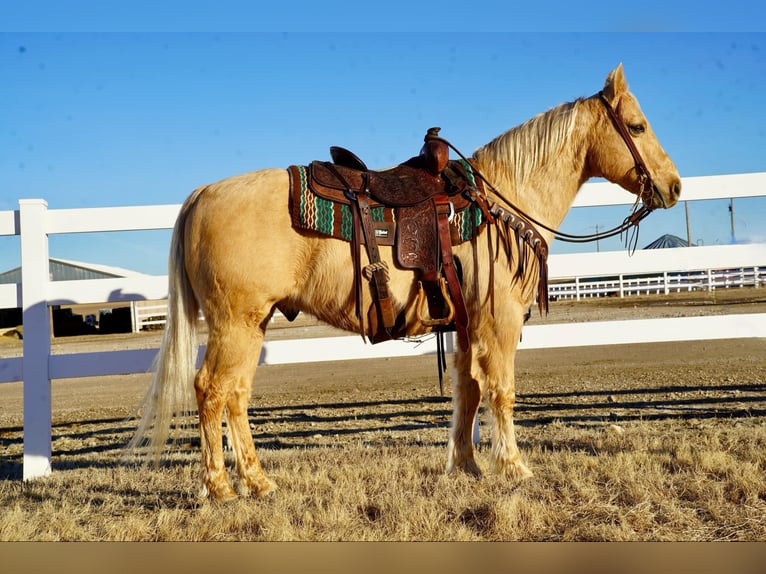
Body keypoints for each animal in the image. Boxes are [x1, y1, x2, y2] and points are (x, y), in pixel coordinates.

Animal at [130, 65, 684, 502]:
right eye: (637, 125)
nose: (674, 186)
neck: (499, 202)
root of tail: (203, 193)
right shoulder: (499, 322)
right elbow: (501, 390)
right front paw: (514, 468)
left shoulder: (466, 326)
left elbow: (468, 391)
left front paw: (466, 466)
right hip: (234, 324)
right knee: (210, 390)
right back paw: (221, 488)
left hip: (251, 325)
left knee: (236, 395)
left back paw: (258, 482)